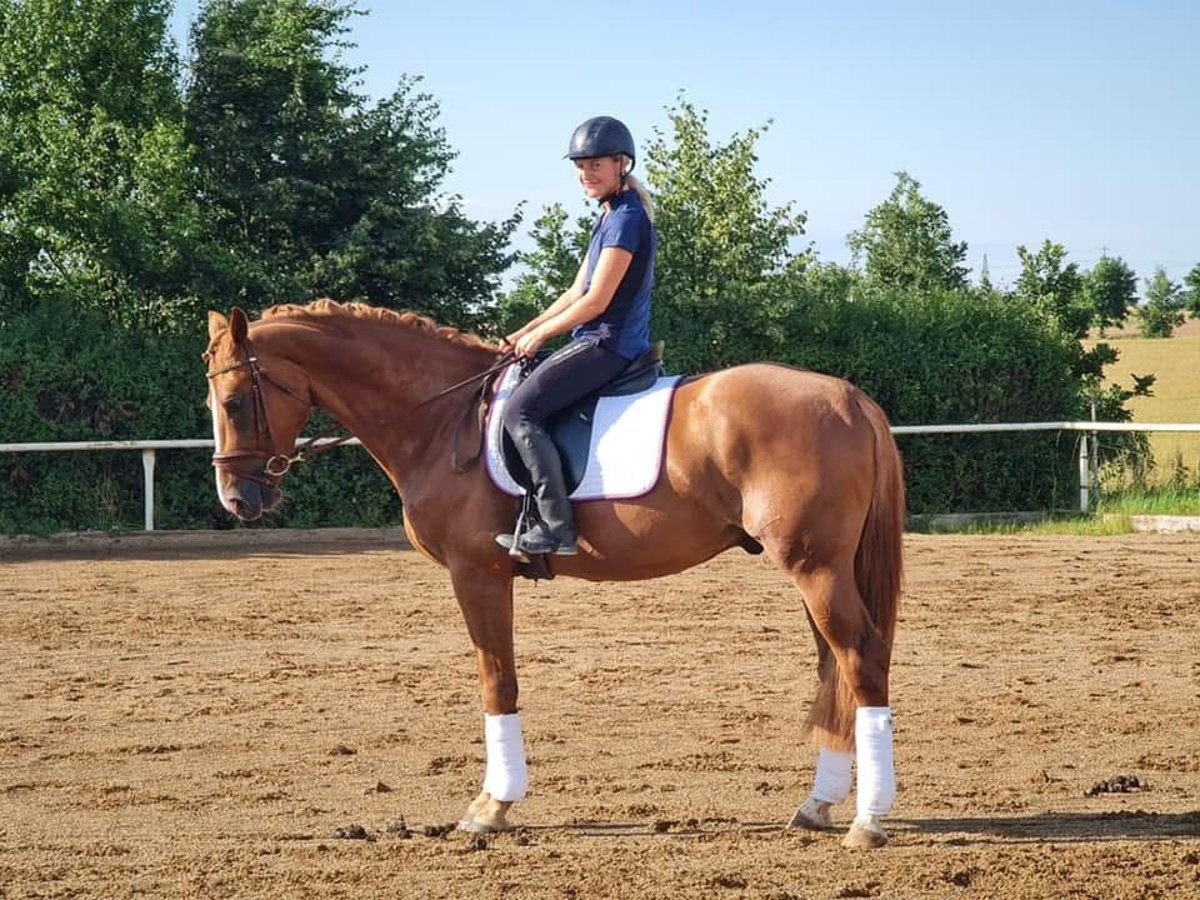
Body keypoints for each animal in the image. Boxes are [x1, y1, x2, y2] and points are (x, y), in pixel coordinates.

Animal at [203, 299, 905, 849]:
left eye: (234, 402)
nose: (236, 500)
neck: (440, 421)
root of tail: (847, 398)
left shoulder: (478, 573)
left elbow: (497, 681)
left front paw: (491, 807)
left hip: (814, 567)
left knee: (861, 659)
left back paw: (867, 820)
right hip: (815, 568)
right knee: (834, 667)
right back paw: (818, 805)